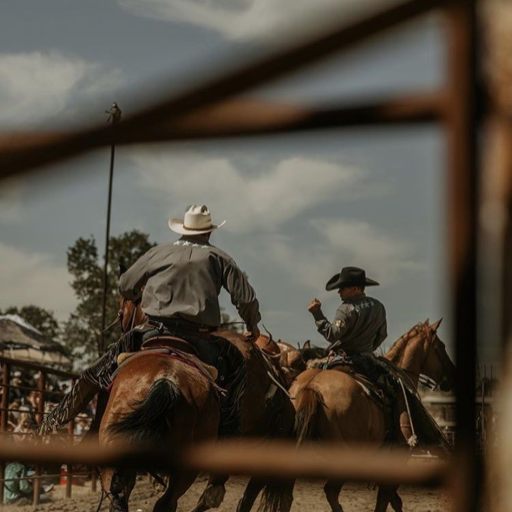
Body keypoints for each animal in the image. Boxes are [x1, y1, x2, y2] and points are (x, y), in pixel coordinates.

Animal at [268, 320, 456, 512]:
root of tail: (312, 386)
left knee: (288, 497)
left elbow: (394, 501)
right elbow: (385, 500)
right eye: (441, 346)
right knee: (330, 491)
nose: (452, 375)